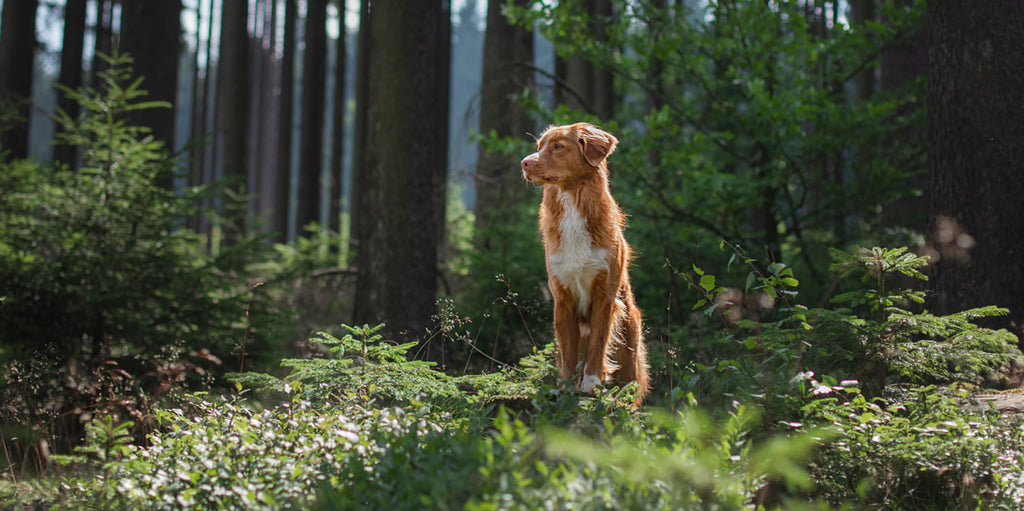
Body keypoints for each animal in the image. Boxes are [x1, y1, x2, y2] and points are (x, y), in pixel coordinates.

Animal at [520, 122, 647, 403]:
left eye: (558, 146)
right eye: (539, 147)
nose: (524, 163)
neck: (572, 200)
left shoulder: (604, 295)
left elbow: (598, 344)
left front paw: (590, 384)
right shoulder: (562, 297)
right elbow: (568, 351)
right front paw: (567, 388)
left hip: (630, 329)